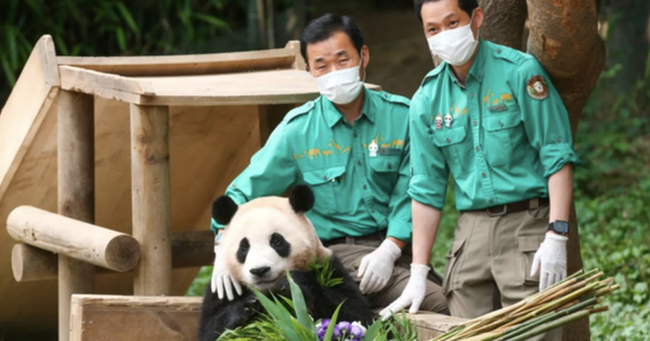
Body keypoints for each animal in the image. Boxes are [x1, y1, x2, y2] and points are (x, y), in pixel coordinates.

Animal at [195, 185, 372, 338]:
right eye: (244, 247)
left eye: (276, 241)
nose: (260, 270)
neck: (270, 291)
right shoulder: (224, 289)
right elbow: (211, 330)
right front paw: (248, 304)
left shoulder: (328, 267)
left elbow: (354, 312)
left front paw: (294, 282)